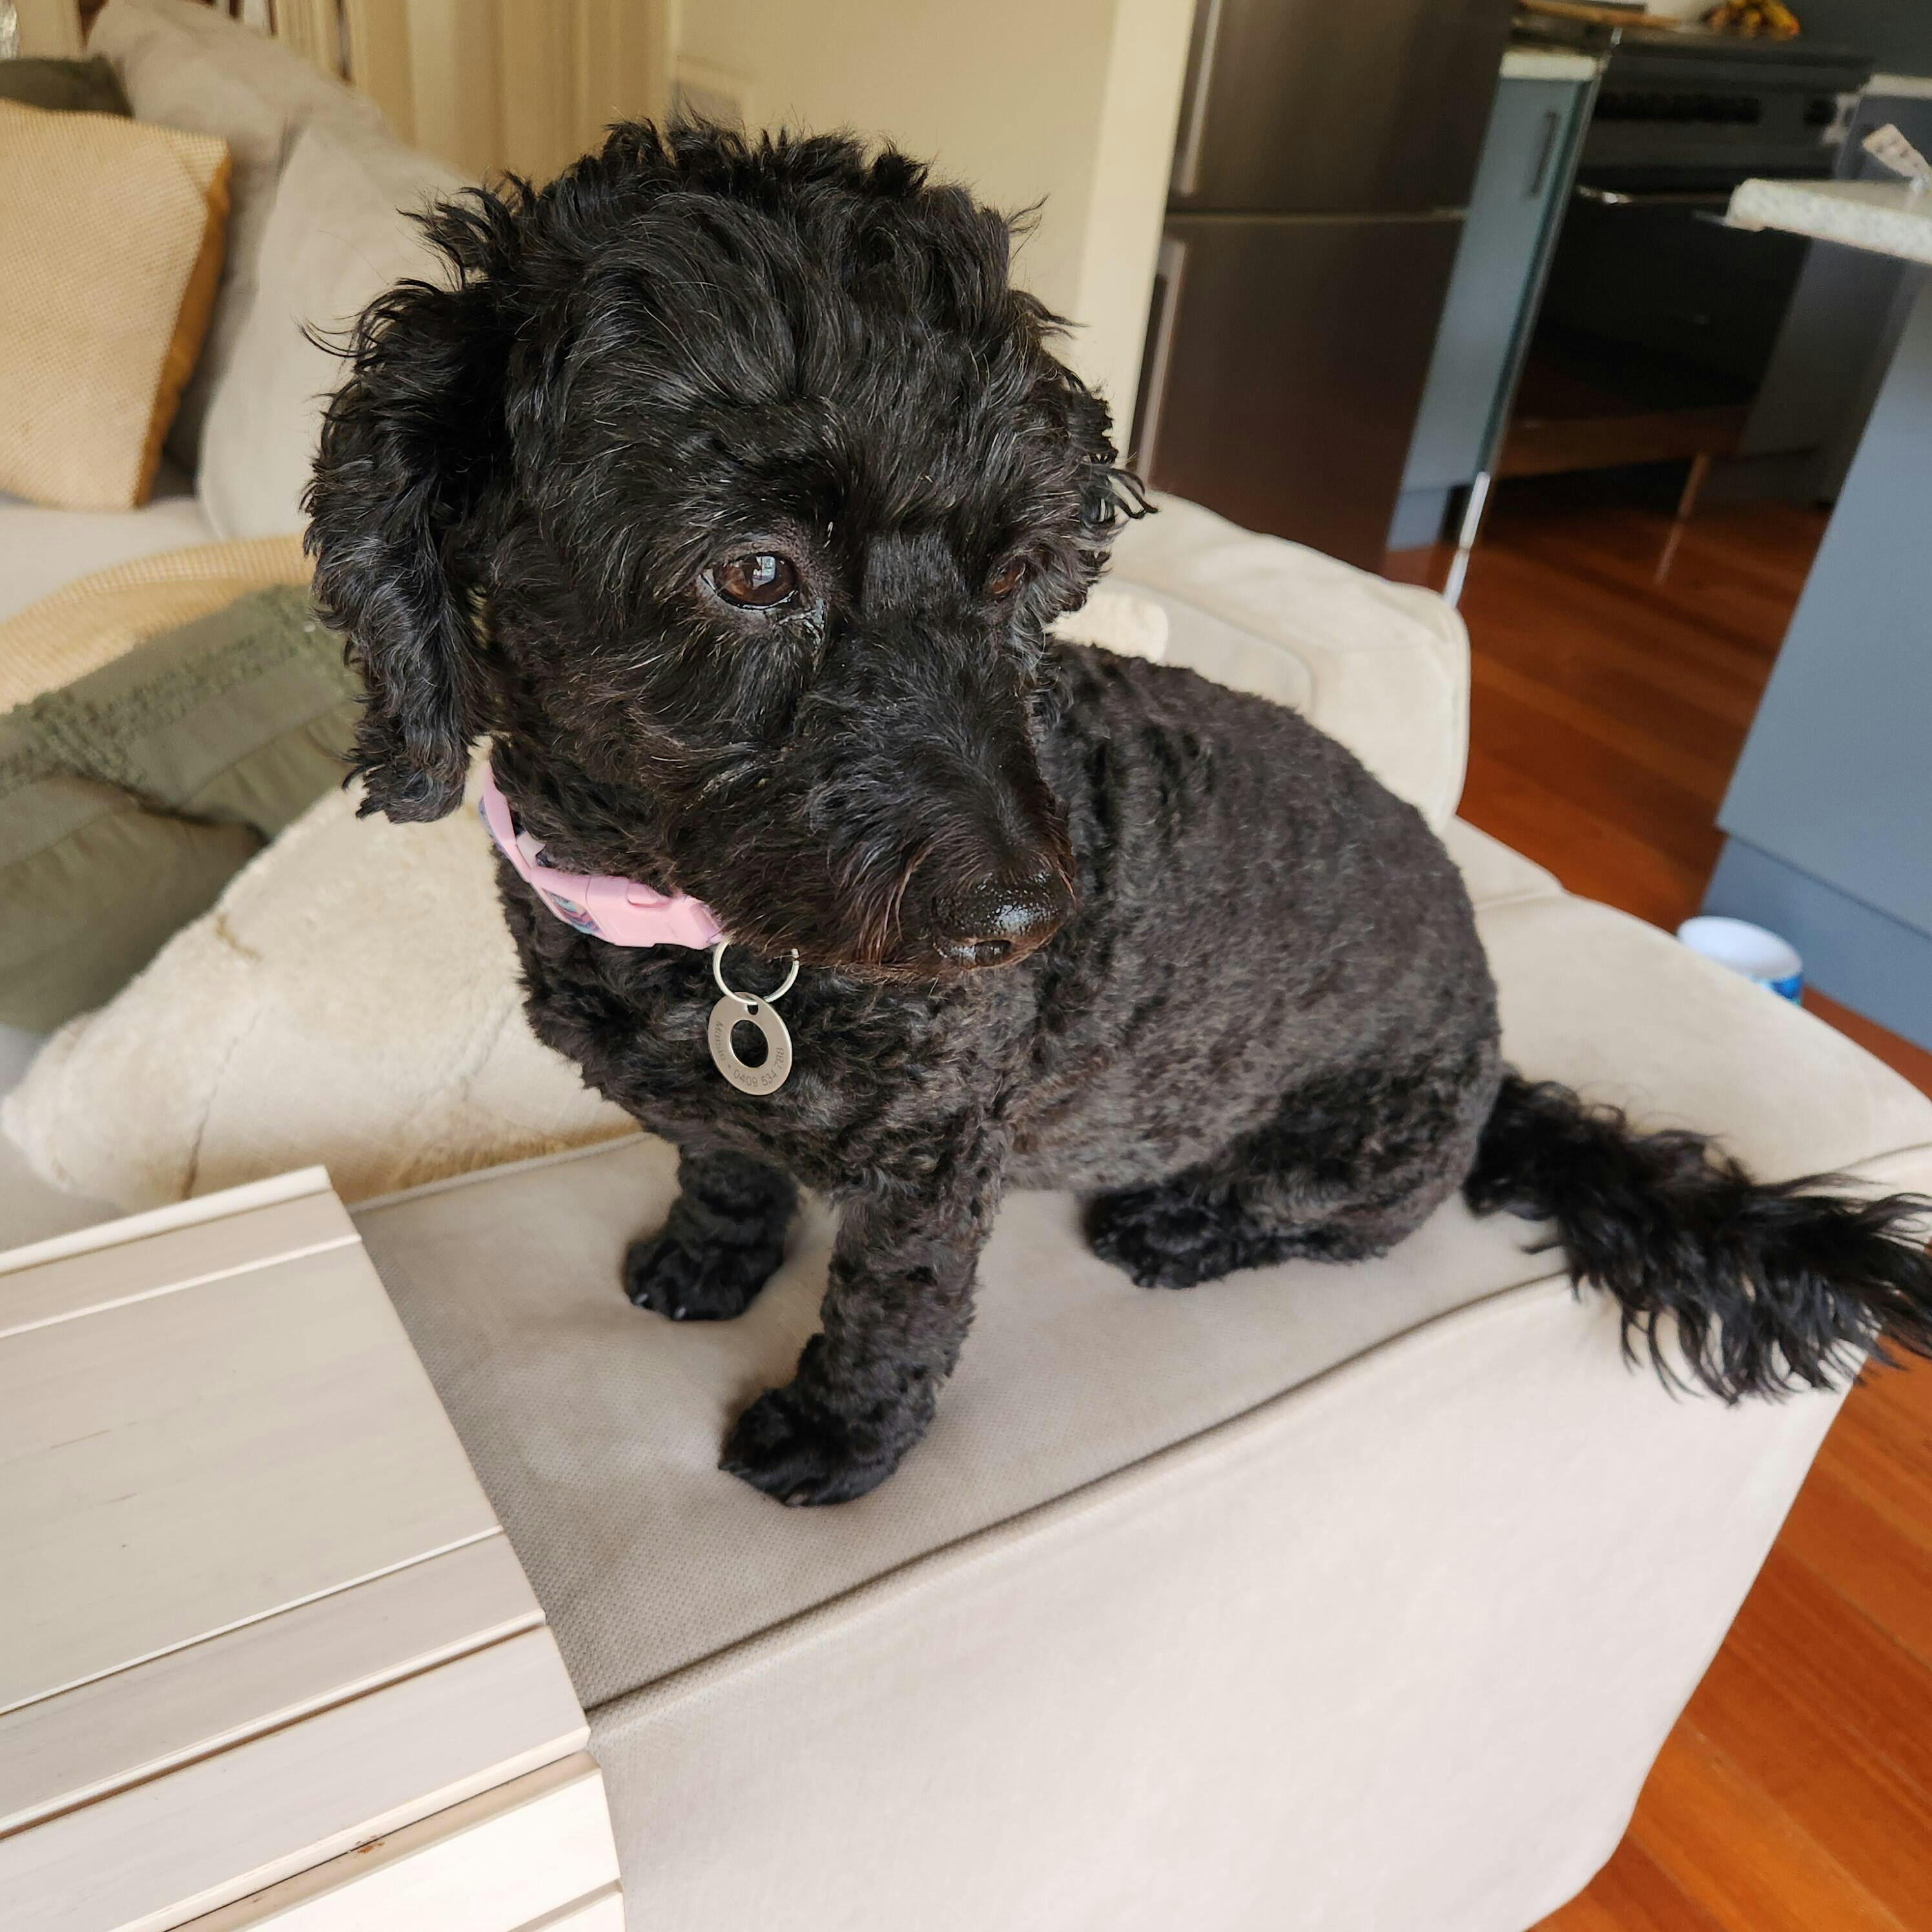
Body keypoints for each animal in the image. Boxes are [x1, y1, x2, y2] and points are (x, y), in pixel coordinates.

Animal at [307, 123, 1932, 1506]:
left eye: (1020, 566)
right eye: (752, 571)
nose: (1028, 917)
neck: (699, 940)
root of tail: (1494, 1059)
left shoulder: (935, 1163)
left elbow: (893, 1310)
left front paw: (837, 1437)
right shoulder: (717, 1107)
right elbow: (722, 1167)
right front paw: (709, 1261)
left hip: (1352, 1148)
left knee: (1343, 1224)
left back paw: (1178, 1225)